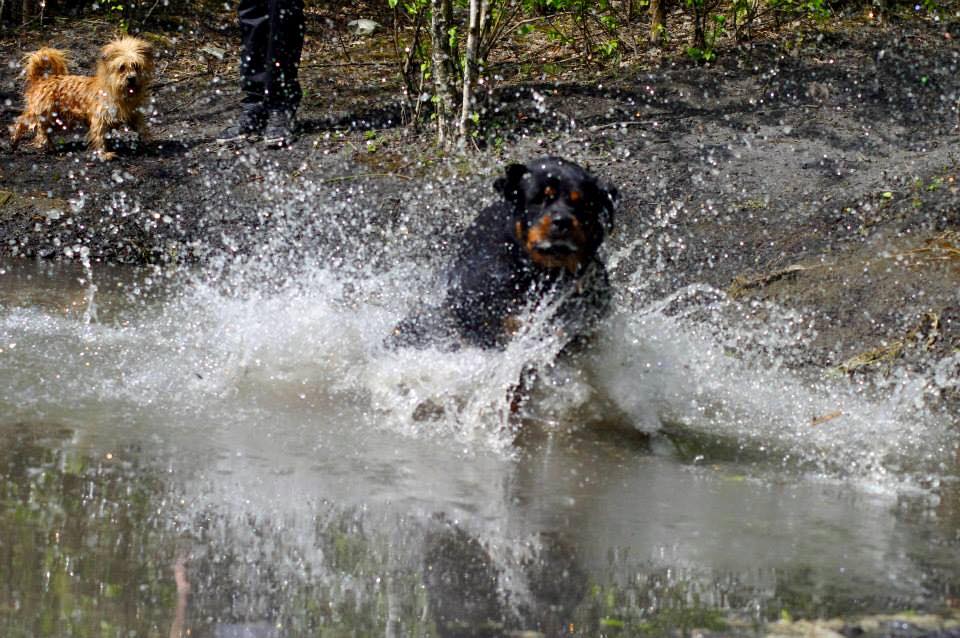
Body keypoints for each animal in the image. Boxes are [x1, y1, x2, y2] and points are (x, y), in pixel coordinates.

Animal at [9, 37, 154, 160]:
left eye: (136, 66)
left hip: (55, 118)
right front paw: (103, 154)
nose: (131, 78)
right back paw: (19, 141)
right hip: (44, 113)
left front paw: (148, 140)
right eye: (122, 67)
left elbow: (141, 126)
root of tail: (42, 80)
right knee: (25, 123)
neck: (117, 92)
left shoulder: (133, 113)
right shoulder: (99, 119)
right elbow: (99, 136)